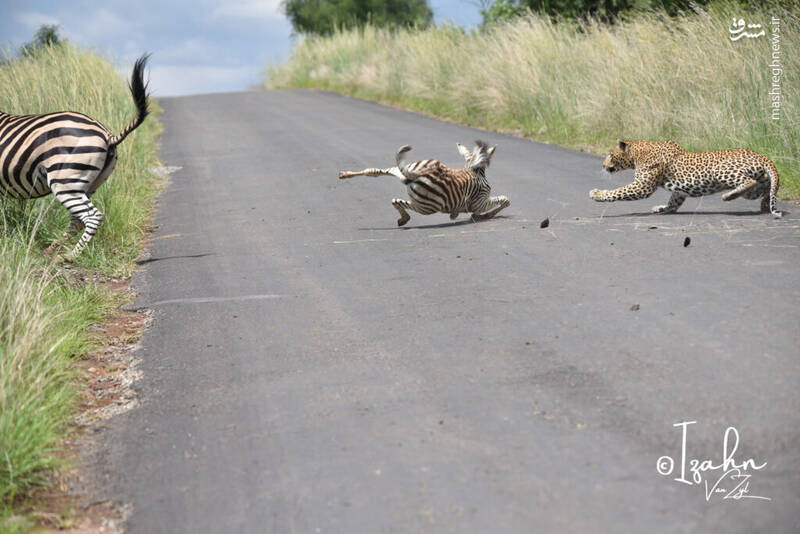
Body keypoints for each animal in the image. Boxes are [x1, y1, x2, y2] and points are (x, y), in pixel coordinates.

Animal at [0, 54, 150, 260]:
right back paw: (54, 249)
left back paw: (71, 256)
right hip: (89, 182)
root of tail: (107, 134)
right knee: (78, 219)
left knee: (92, 217)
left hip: (65, 180)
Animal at [340, 140, 510, 226]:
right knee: (397, 201)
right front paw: (486, 215)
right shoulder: (479, 202)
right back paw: (404, 219)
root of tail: (418, 173)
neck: (475, 170)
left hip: (402, 169)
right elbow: (505, 199)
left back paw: (344, 174)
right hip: (429, 207)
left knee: (373, 172)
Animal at [588, 141, 780, 221]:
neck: (637, 154)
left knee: (748, 181)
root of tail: (761, 155)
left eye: (610, 155)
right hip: (755, 188)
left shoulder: (643, 186)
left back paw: (728, 197)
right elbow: (674, 202)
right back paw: (764, 204)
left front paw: (597, 194)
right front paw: (661, 208)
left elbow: (618, 192)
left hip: (721, 170)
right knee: (765, 189)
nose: (603, 165)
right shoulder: (679, 191)